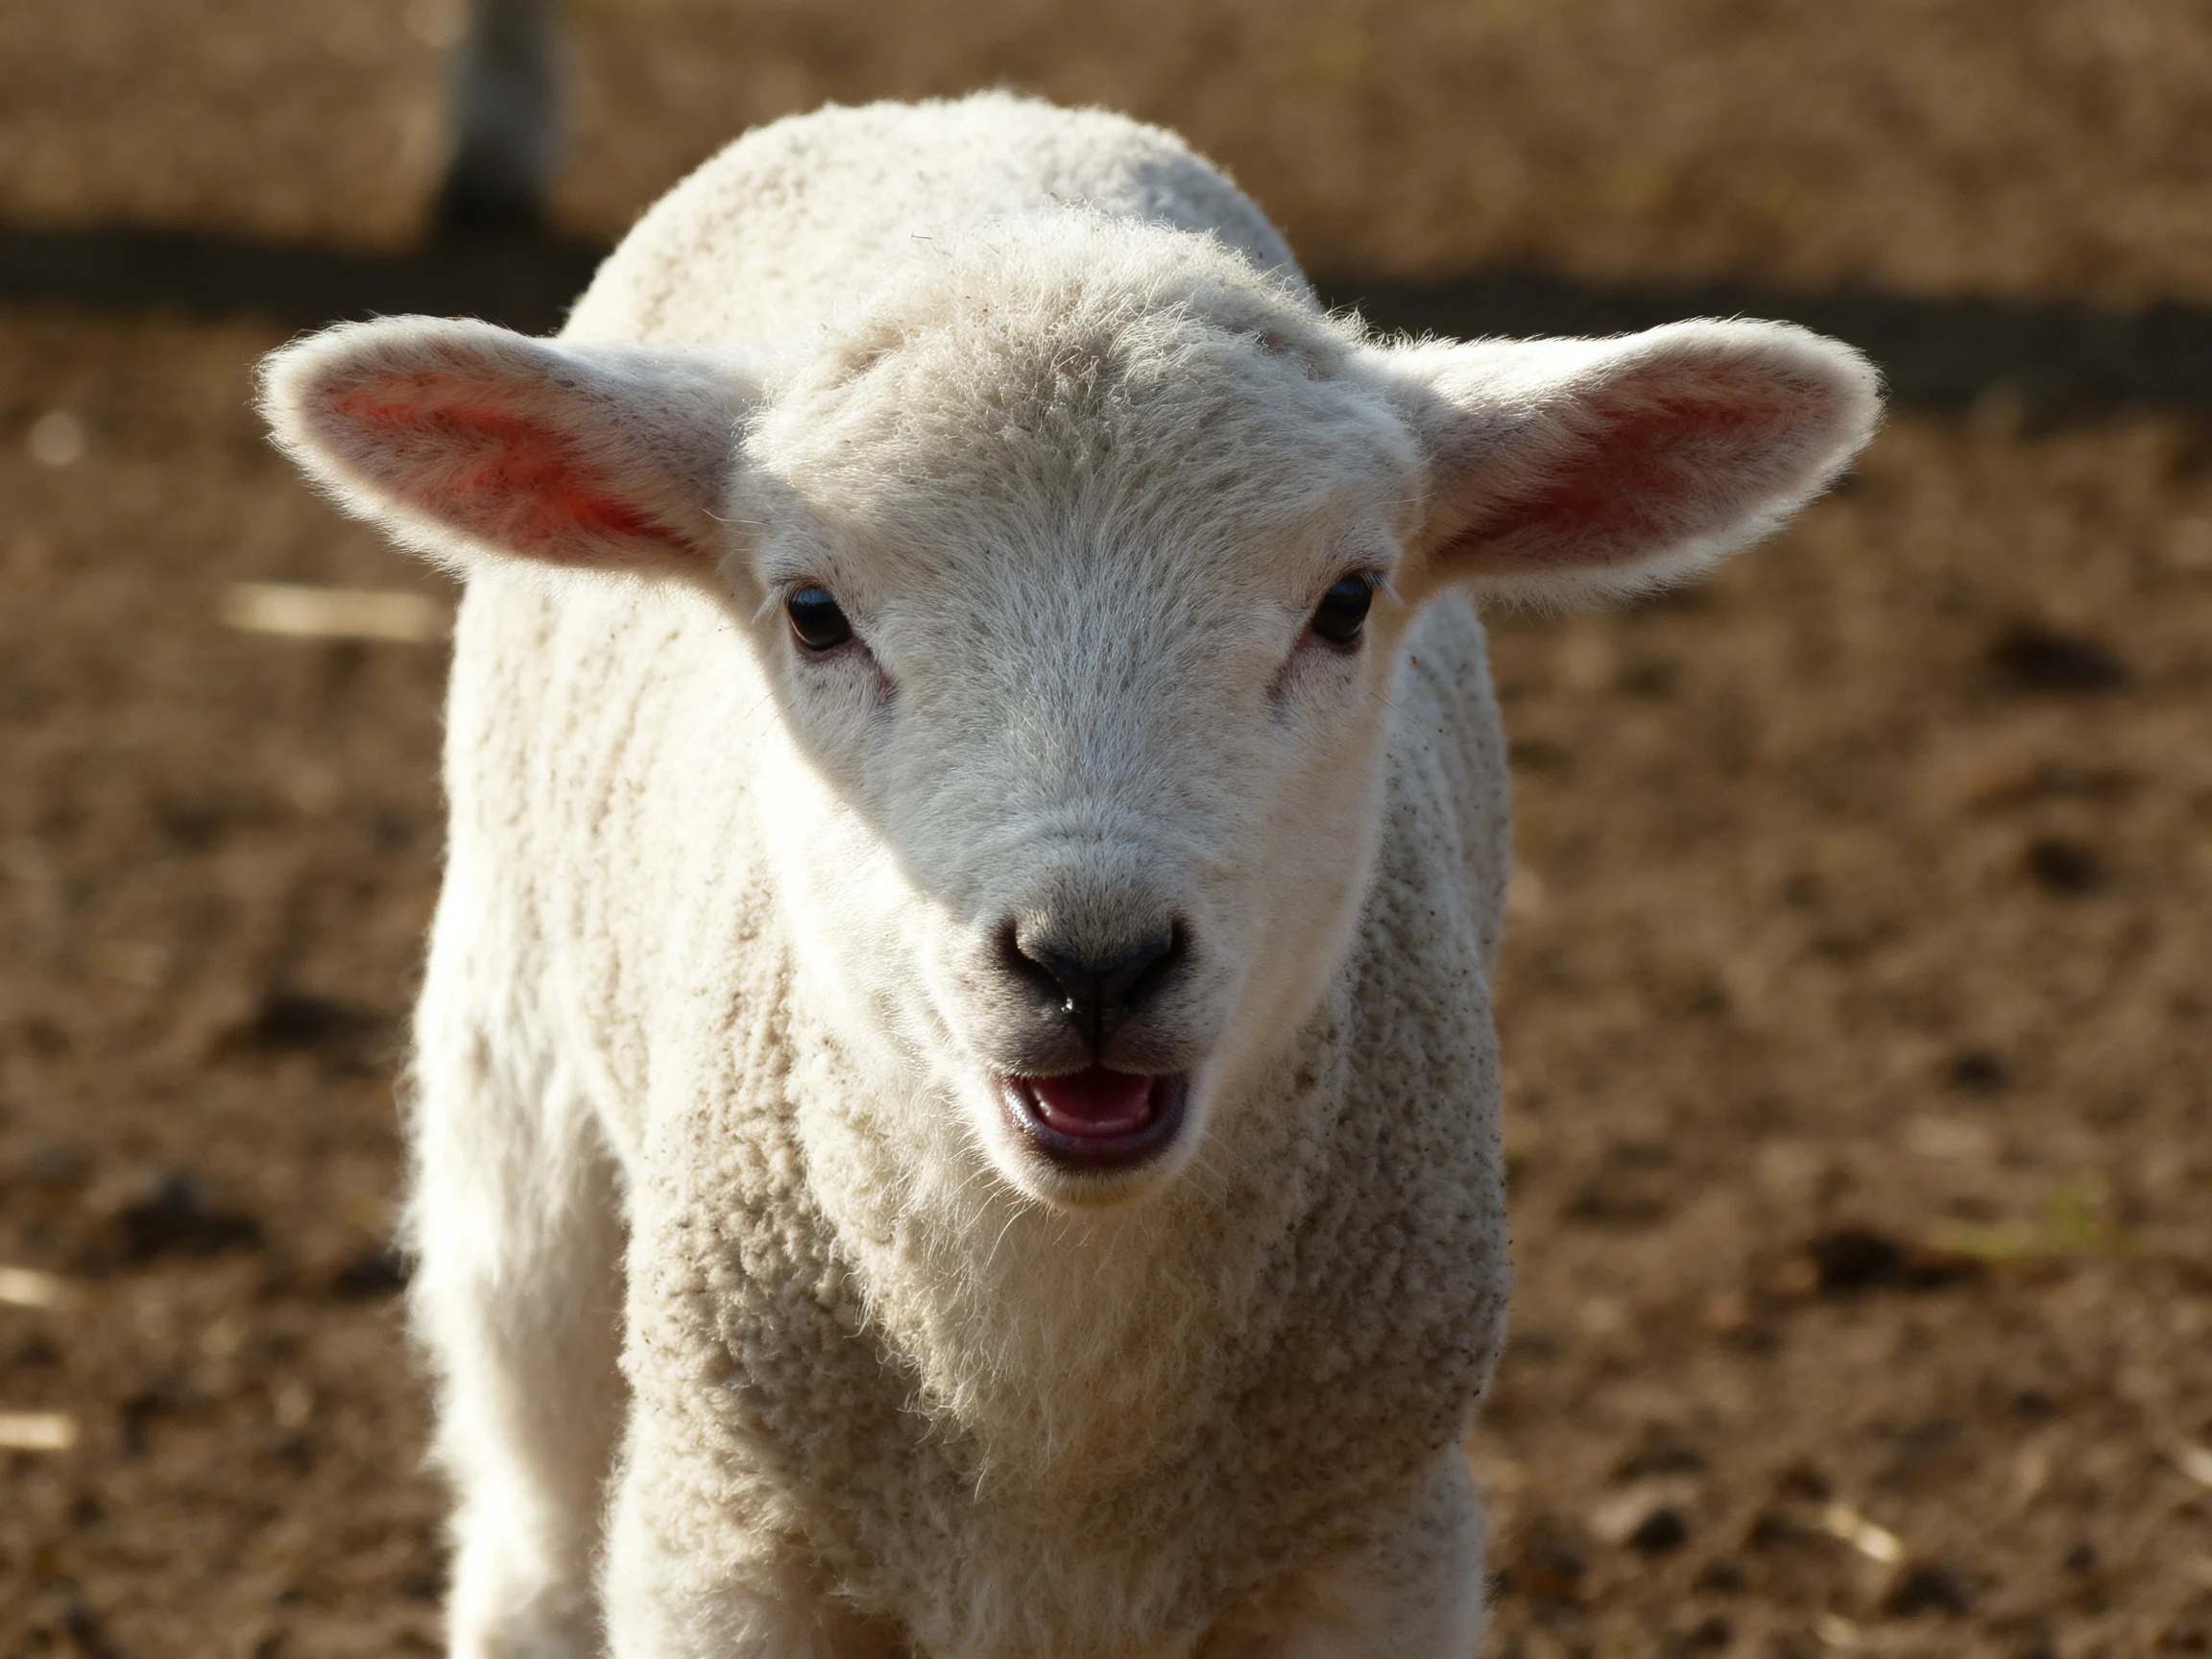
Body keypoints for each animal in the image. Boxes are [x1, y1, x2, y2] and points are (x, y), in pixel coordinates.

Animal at [259, 93, 1880, 1659]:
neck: (1054, 1401)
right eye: (813, 612)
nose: (1091, 960)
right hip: (519, 1104)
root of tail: (958, 110)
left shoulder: (1378, 1546)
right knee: (530, 1512)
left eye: (1349, 601)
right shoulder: (726, 1540)